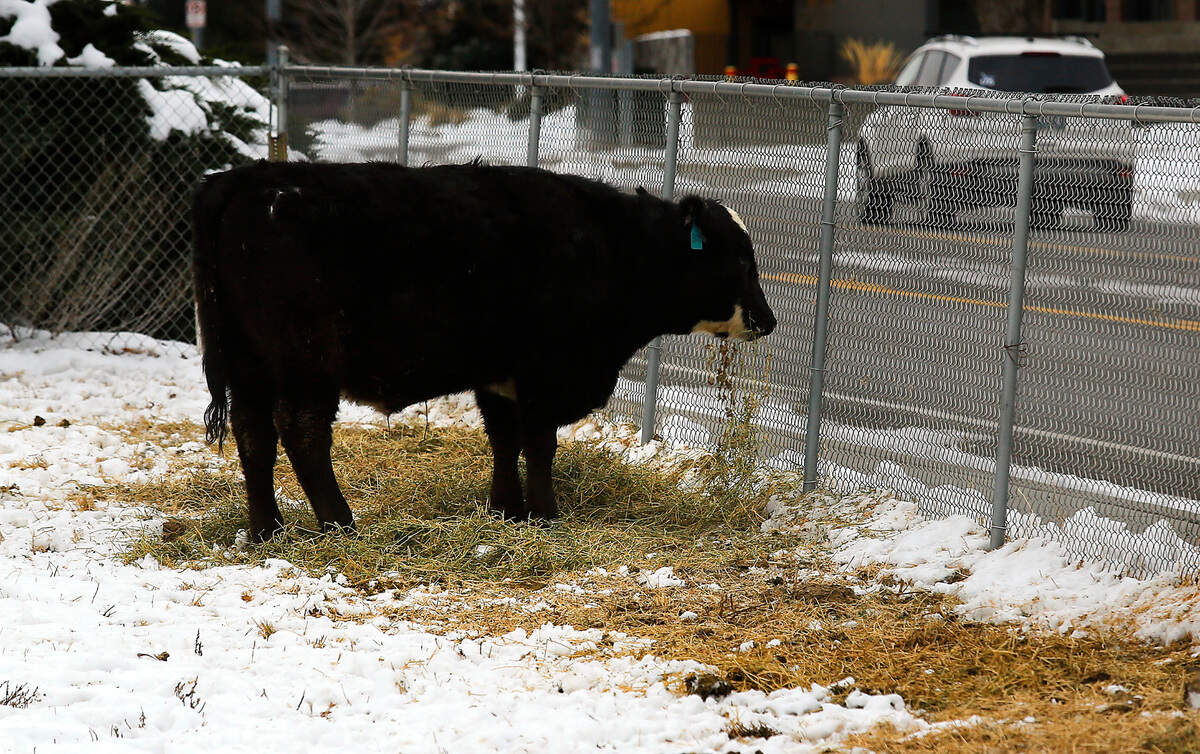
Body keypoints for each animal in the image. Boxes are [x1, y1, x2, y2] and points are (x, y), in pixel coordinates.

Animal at [192, 161, 776, 541]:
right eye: (740, 260)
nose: (768, 321)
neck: (611, 248)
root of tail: (246, 177)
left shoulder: (501, 375)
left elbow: (503, 439)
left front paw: (506, 510)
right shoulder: (544, 372)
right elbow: (538, 443)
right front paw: (544, 514)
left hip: (249, 364)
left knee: (253, 435)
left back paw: (266, 530)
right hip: (307, 360)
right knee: (302, 431)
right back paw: (340, 524)